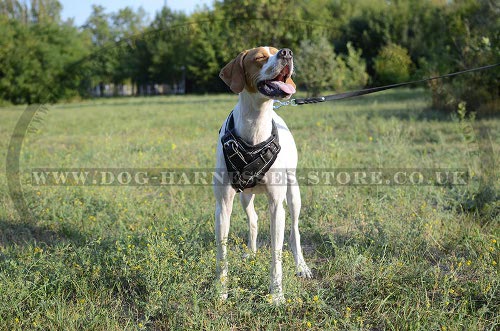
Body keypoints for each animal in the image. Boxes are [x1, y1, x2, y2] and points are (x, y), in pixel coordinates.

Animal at [215, 46, 312, 306]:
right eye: (259, 57)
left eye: (276, 50)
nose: (286, 53)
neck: (256, 123)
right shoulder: (223, 204)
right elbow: (222, 253)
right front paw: (220, 291)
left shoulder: (277, 205)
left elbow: (276, 256)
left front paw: (276, 295)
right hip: (244, 196)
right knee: (253, 220)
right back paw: (251, 253)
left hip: (293, 193)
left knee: (295, 231)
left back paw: (301, 266)